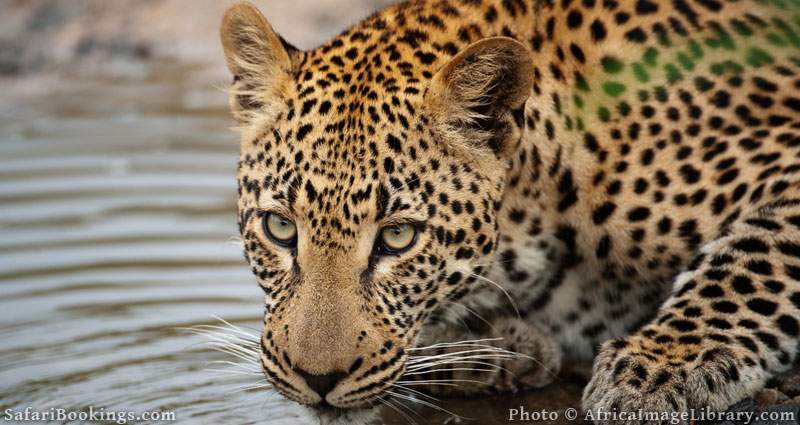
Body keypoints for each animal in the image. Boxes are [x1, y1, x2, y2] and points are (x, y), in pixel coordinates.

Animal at [220, 0, 800, 423]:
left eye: (398, 238)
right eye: (280, 228)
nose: (316, 381)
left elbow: (749, 261)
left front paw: (656, 371)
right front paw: (501, 351)